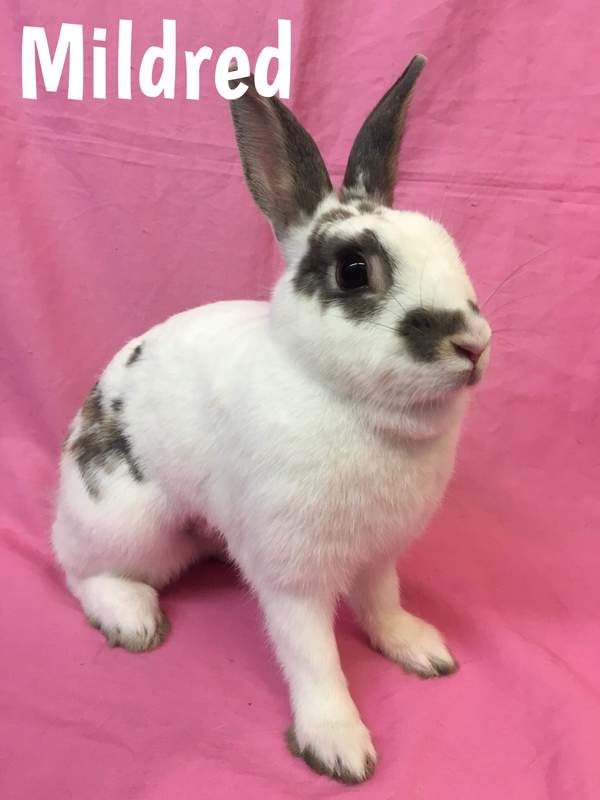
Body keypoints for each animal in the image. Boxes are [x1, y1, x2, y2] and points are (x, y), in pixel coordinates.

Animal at [52, 54, 491, 784]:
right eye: (352, 270)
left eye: (447, 242)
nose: (472, 344)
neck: (349, 403)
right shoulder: (291, 572)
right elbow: (313, 655)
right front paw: (337, 744)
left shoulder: (380, 554)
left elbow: (382, 604)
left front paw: (420, 649)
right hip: (130, 524)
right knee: (78, 568)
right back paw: (132, 619)